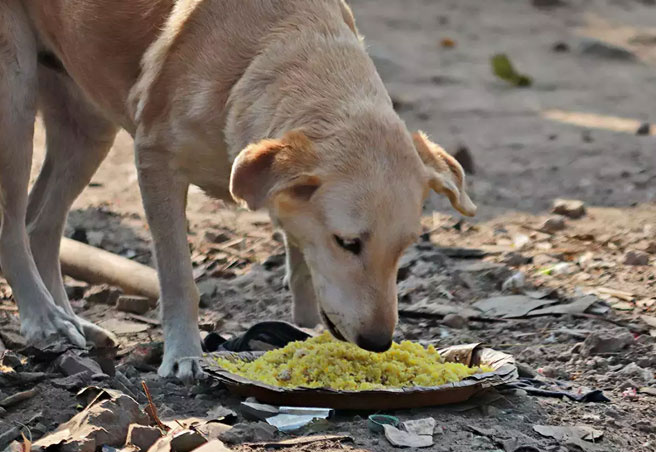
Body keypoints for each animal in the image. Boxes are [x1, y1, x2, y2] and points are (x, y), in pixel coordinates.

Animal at [0, 0, 474, 382]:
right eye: (347, 243)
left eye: (404, 248)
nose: (378, 342)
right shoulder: (154, 161)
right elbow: (178, 278)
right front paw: (184, 355)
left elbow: (302, 267)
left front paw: (304, 333)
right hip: (15, 101)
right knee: (12, 227)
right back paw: (44, 319)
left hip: (88, 127)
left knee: (40, 225)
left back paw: (71, 321)